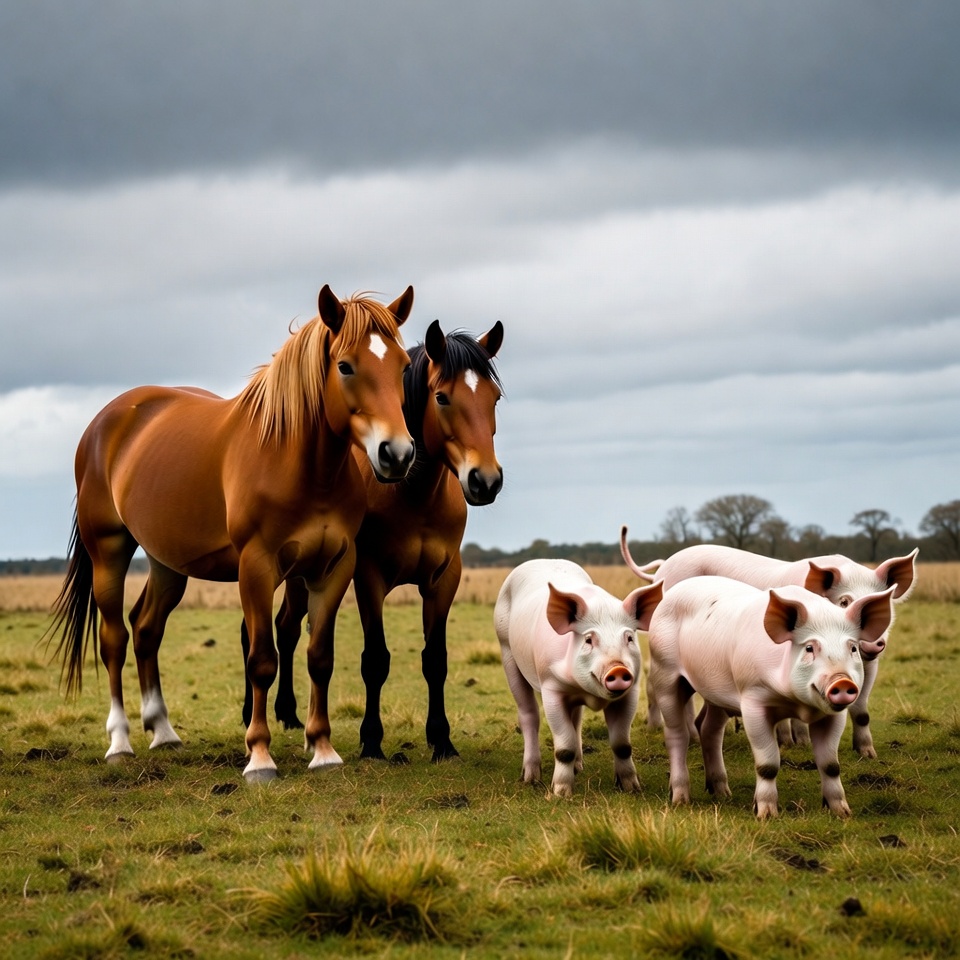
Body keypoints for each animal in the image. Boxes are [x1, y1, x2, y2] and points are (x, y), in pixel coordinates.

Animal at [47, 286, 416, 783]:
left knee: (146, 629)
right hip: (108, 552)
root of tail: (104, 422)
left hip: (167, 564)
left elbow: (320, 657)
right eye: (345, 366)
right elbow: (261, 661)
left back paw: (163, 732)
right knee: (114, 641)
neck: (299, 463)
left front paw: (323, 750)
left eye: (403, 365)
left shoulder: (333, 567)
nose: (397, 454)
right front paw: (259, 757)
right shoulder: (256, 568)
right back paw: (120, 742)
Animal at [241, 318, 504, 761]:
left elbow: (436, 660)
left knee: (286, 627)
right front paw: (372, 741)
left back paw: (289, 713)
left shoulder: (444, 579)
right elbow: (375, 660)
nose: (485, 481)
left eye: (495, 398)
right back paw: (252, 713)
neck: (413, 496)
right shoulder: (369, 576)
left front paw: (442, 740)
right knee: (256, 631)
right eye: (442, 397)